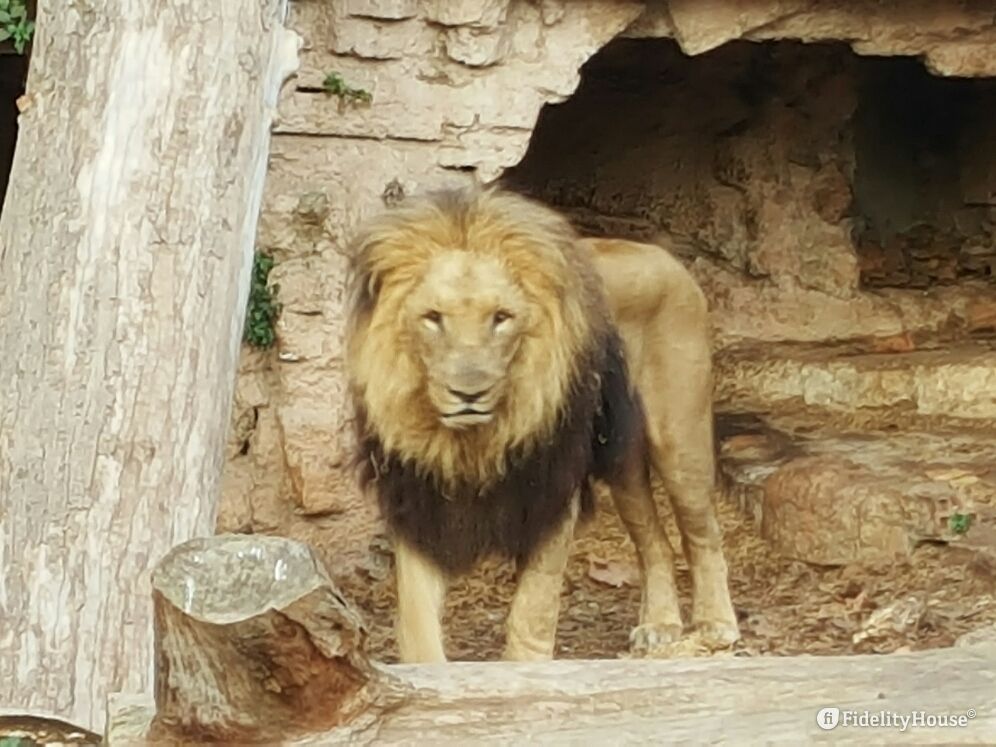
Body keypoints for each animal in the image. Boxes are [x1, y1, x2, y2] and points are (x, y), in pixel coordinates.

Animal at [344, 185, 740, 662]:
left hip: (679, 438)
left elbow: (533, 609)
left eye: (501, 318)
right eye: (433, 318)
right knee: (654, 541)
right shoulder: (418, 499)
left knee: (704, 534)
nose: (468, 393)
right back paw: (660, 625)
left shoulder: (550, 493)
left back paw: (717, 624)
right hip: (622, 460)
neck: (472, 441)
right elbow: (418, 620)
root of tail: (661, 254)